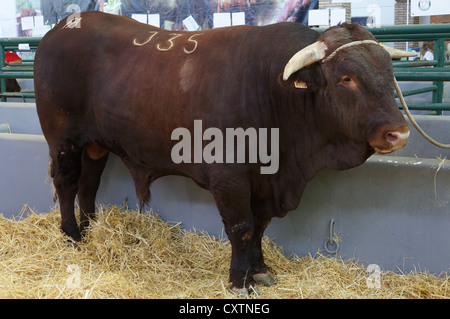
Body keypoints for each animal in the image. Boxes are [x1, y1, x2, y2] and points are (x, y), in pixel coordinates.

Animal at [33, 12, 410, 298]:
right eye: (346, 78)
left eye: (389, 74)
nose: (399, 133)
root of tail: (63, 26)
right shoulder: (229, 175)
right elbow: (241, 227)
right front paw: (239, 280)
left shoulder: (264, 179)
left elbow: (259, 227)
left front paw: (260, 270)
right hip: (63, 140)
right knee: (67, 183)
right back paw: (71, 235)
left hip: (94, 145)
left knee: (89, 184)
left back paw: (90, 231)